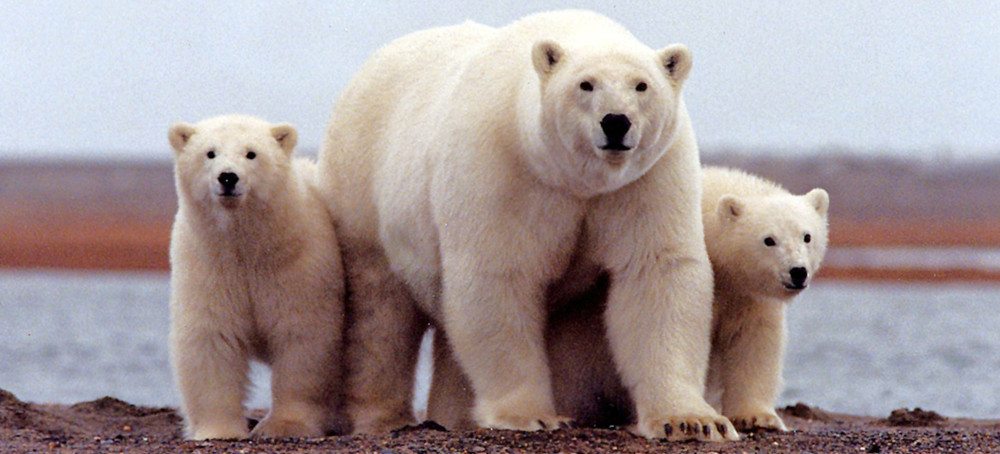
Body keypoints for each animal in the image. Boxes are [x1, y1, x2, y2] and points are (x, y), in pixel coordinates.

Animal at [167, 115, 345, 440]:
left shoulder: (298, 267)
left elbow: (302, 338)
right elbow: (212, 338)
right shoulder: (208, 266)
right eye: (210, 153)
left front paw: (285, 425)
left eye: (251, 153)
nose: (228, 177)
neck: (248, 248)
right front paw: (219, 430)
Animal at [317, 10, 736, 441]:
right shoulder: (503, 169)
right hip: (363, 189)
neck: (574, 178)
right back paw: (382, 417)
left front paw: (691, 420)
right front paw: (531, 415)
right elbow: (499, 276)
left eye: (642, 85)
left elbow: (656, 272)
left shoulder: (646, 178)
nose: (616, 122)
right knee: (379, 313)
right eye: (585, 84)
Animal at [428, 166, 829, 434]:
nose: (797, 272)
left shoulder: (746, 295)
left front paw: (757, 416)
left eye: (807, 236)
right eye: (768, 240)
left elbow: (754, 342)